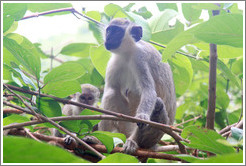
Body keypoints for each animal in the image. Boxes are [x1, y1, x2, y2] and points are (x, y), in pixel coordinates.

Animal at [97, 18, 176, 154]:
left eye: (117, 31)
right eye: (108, 31)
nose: (108, 39)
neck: (127, 54)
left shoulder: (140, 58)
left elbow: (148, 91)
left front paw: (142, 116)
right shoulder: (114, 62)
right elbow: (110, 90)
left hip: (153, 135)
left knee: (157, 103)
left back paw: (133, 142)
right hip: (125, 126)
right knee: (111, 94)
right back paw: (99, 141)